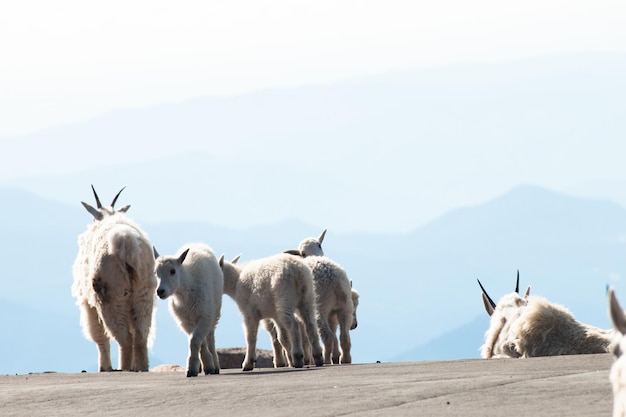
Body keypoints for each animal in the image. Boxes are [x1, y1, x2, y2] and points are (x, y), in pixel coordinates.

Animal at [71, 185, 156, 370]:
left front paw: (104, 367)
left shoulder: (88, 302)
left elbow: (99, 335)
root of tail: (126, 243)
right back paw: (140, 367)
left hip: (111, 294)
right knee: (140, 333)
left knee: (124, 337)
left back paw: (124, 367)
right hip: (143, 292)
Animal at [153, 244, 222, 376]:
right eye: (156, 272)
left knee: (211, 337)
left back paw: (216, 366)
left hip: (215, 311)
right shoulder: (185, 321)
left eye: (173, 271)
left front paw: (201, 368)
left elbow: (195, 341)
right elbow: (196, 341)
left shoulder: (205, 316)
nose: (160, 291)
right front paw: (199, 366)